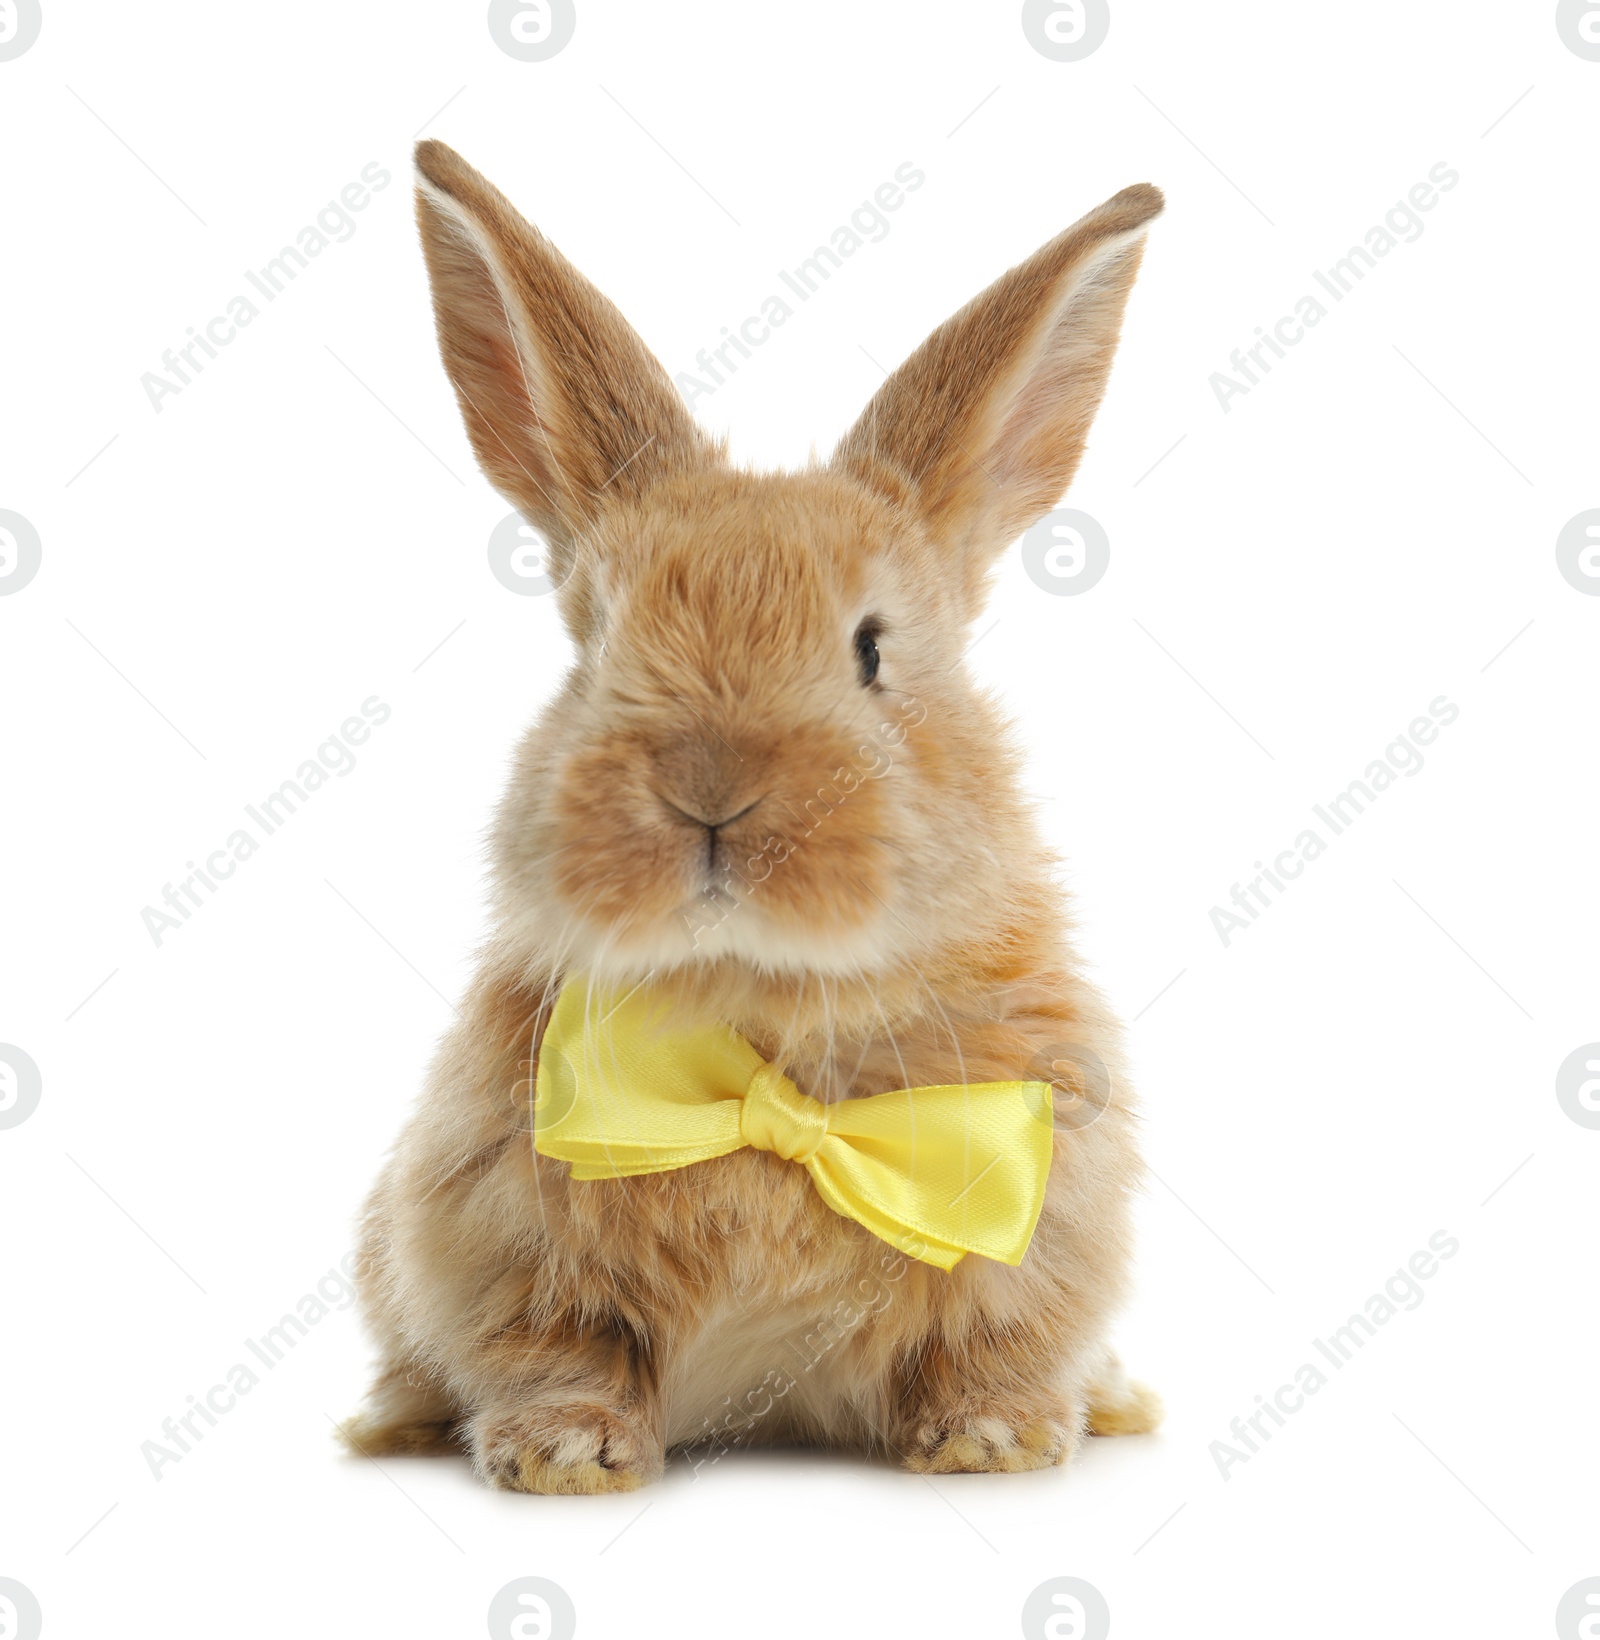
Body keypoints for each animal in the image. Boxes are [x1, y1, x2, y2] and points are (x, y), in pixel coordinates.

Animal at [337, 141, 1160, 1495]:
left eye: (873, 649)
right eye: (597, 642)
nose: (709, 790)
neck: (755, 1016)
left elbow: (992, 1337)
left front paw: (990, 1440)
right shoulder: (493, 1232)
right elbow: (555, 1348)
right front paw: (564, 1456)